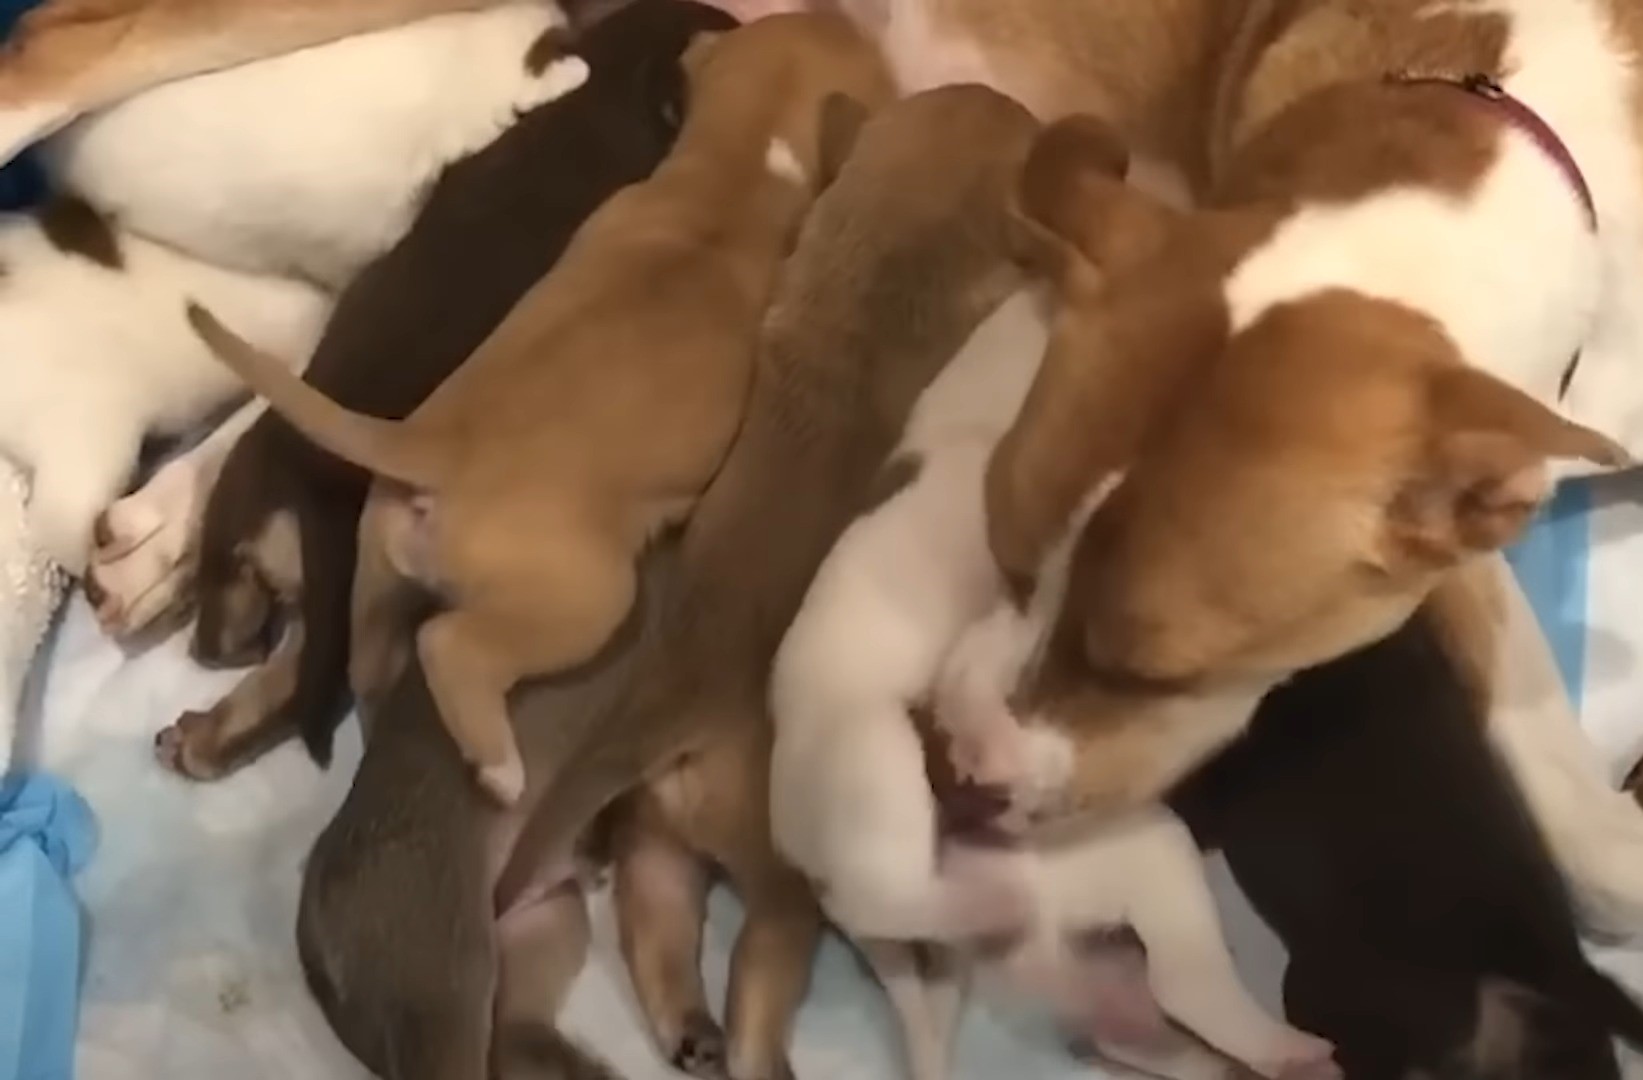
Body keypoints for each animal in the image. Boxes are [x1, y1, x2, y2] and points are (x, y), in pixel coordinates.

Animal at [188, 8, 900, 798]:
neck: (732, 168)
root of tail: (438, 447)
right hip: (586, 598)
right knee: (449, 645)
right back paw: (498, 767)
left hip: (373, 572)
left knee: (360, 664)